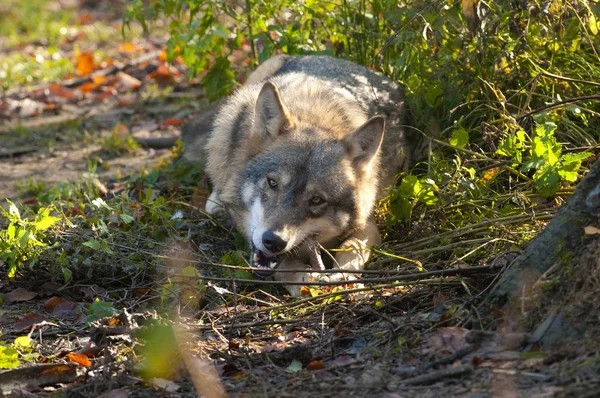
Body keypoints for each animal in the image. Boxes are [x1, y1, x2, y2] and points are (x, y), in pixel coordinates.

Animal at [183, 54, 422, 296]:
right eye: (272, 183)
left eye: (316, 200)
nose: (274, 241)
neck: (314, 119)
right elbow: (285, 267)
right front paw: (305, 279)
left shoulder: (367, 224)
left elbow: (351, 249)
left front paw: (343, 276)